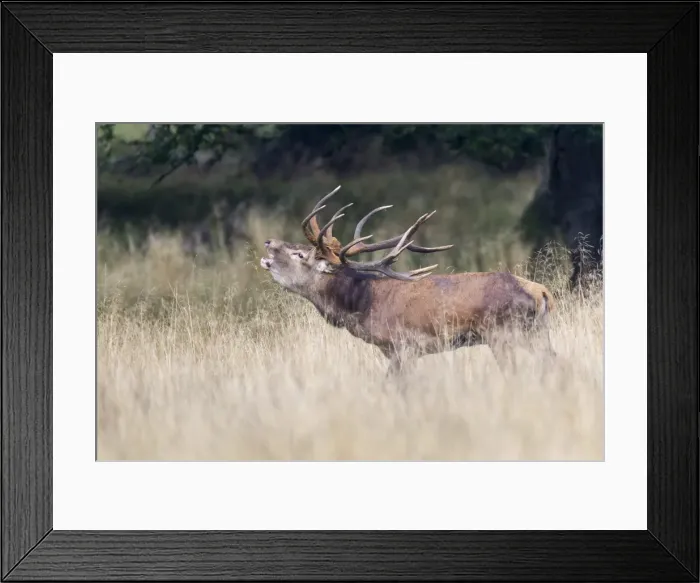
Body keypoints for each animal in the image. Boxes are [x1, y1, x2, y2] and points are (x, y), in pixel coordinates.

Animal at [260, 185, 556, 377]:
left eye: (300, 254)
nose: (268, 241)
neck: (363, 305)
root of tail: (541, 292)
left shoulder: (403, 347)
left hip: (503, 333)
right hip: (536, 332)